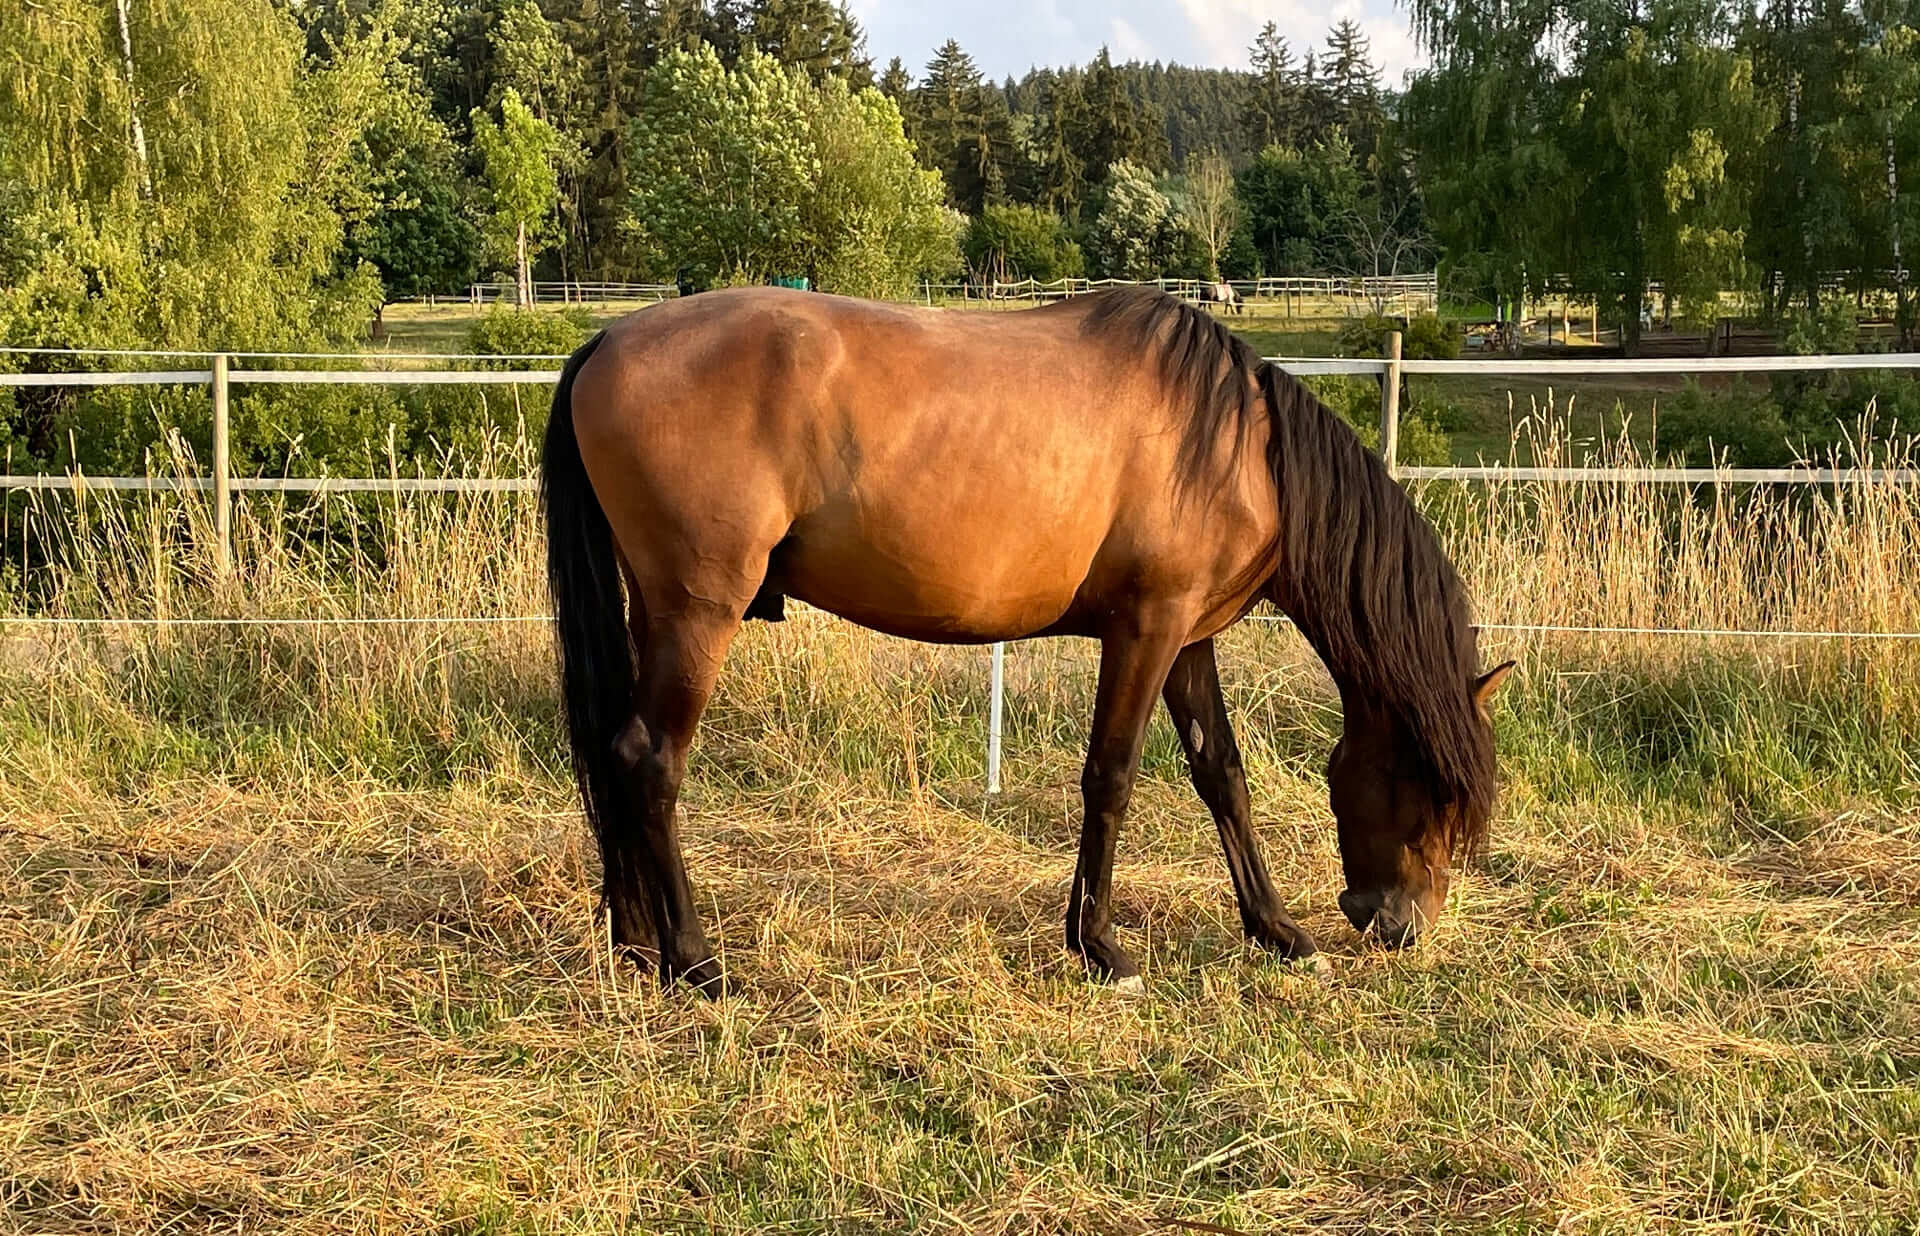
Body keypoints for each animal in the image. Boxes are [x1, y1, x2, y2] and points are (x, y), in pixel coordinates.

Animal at [541, 282, 1512, 998]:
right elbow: (1111, 777)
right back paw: (694, 961)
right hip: (698, 613)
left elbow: (1222, 777)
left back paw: (635, 942)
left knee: (613, 755)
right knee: (650, 761)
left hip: (652, 609)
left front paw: (1275, 929)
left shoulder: (1188, 639)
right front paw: (1101, 949)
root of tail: (608, 339)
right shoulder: (1146, 629)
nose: (1403, 925)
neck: (1239, 449)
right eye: (1433, 787)